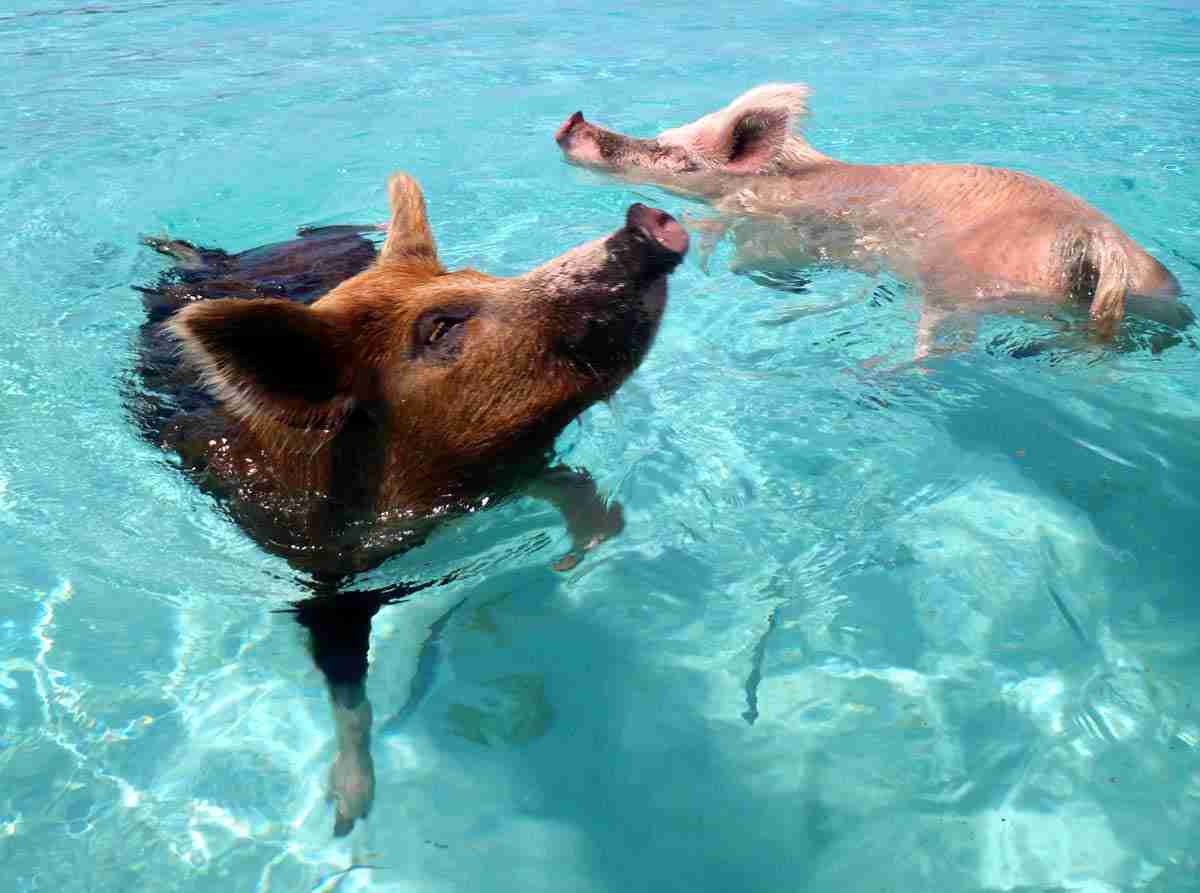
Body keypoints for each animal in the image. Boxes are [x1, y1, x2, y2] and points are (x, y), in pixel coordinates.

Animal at [126, 170, 691, 835]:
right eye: (441, 327)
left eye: (480, 274)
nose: (647, 221)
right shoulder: (324, 582)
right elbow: (349, 694)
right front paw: (349, 816)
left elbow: (569, 485)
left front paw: (579, 553)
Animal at [556, 84, 1185, 360]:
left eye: (670, 151)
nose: (571, 121)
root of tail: (1100, 244)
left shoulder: (765, 224)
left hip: (958, 282)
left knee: (940, 350)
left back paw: (871, 373)